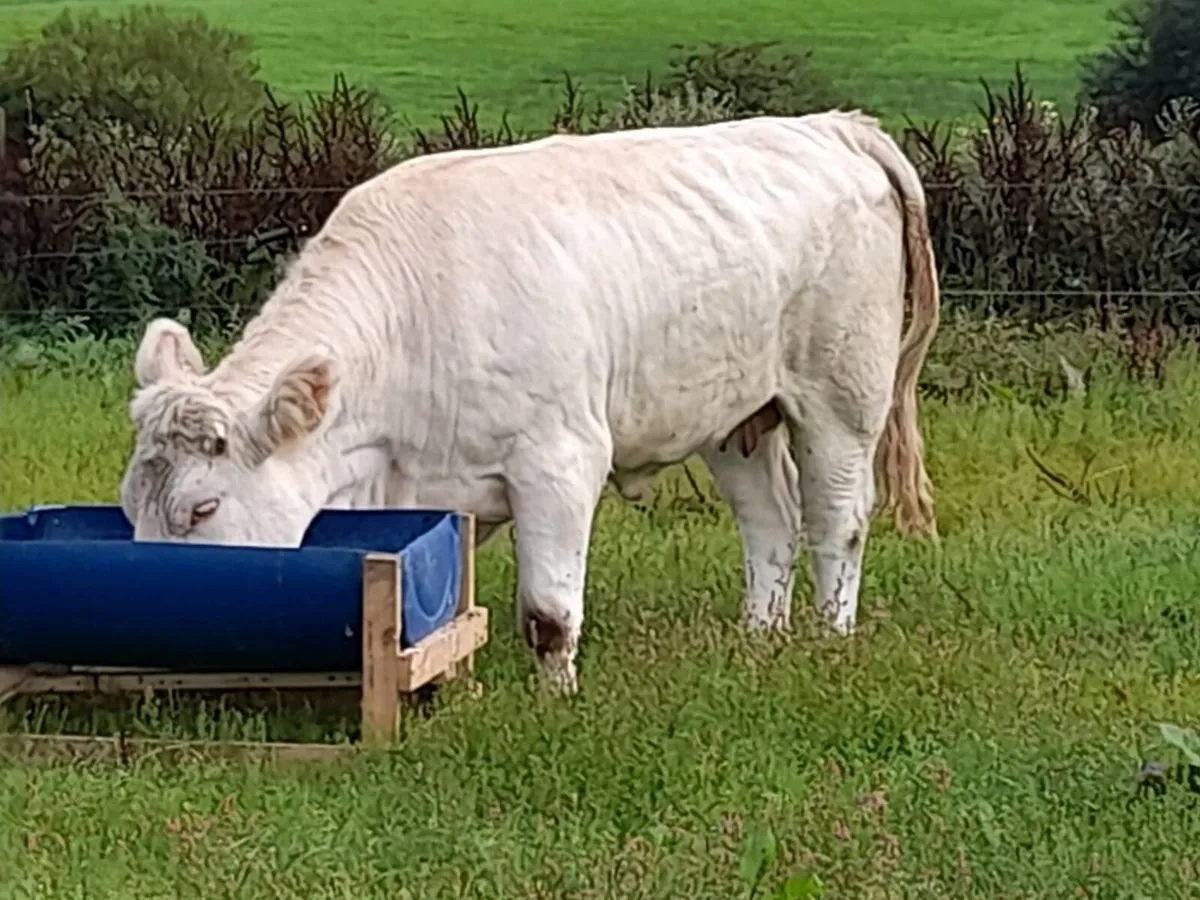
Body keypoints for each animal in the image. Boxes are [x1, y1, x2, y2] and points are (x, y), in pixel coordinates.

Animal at [119, 110, 940, 695]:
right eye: (129, 507)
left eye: (202, 509)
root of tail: (831, 125)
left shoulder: (559, 460)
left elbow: (548, 612)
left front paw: (556, 703)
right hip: (734, 414)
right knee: (771, 522)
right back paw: (758, 640)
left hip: (841, 394)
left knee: (837, 522)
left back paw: (829, 641)